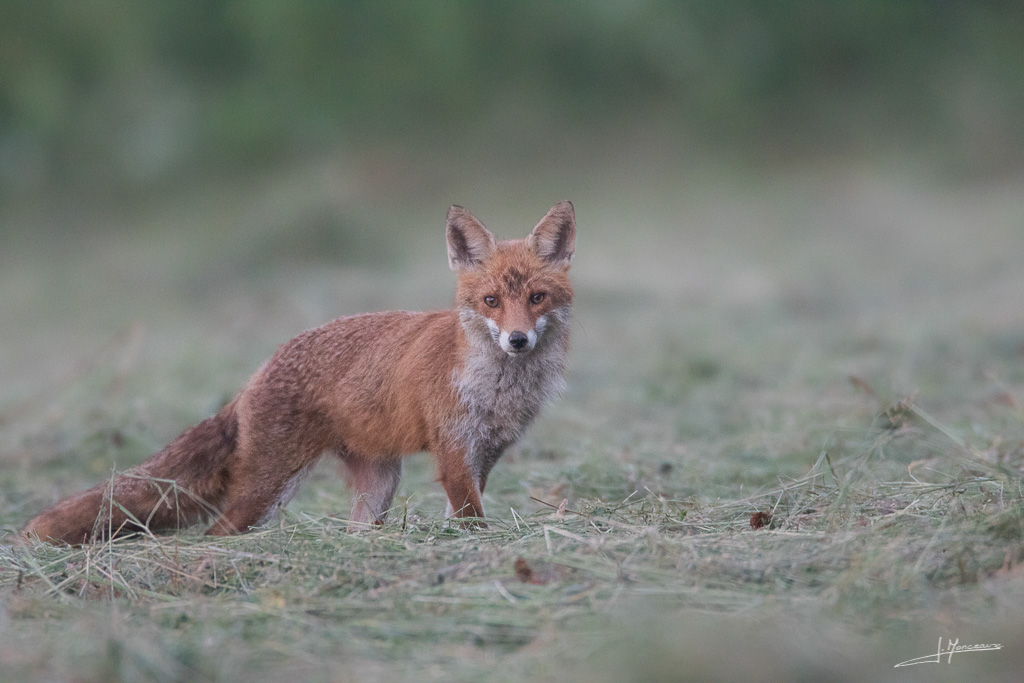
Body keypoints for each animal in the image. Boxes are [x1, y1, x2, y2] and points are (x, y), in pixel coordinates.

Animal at [22, 201, 576, 545]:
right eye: (491, 301)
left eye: (536, 297)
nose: (518, 340)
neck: (499, 387)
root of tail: (257, 372)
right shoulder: (454, 449)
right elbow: (471, 516)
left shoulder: (486, 452)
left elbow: (463, 515)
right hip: (267, 490)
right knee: (214, 532)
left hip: (379, 484)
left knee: (356, 528)